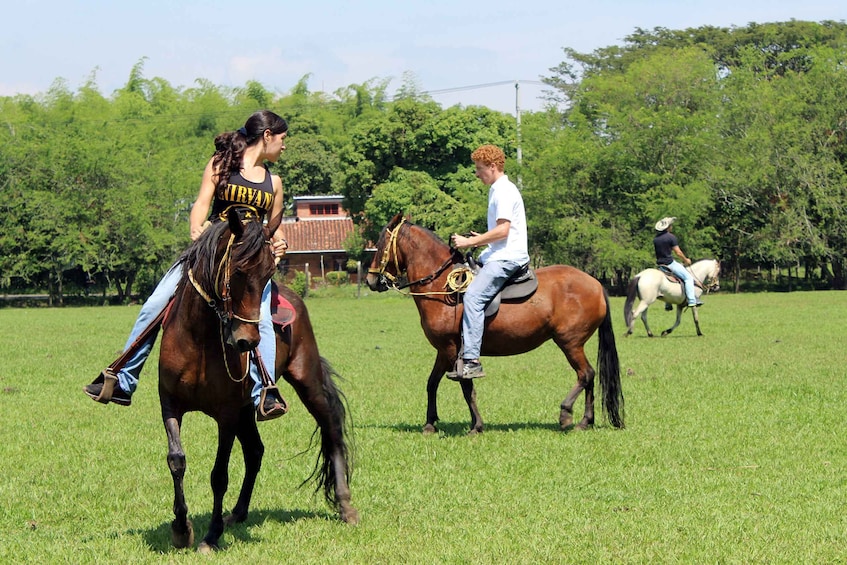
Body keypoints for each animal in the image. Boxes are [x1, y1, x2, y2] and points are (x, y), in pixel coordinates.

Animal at [159, 207, 358, 552]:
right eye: (237, 272)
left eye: (268, 274)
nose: (247, 341)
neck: (197, 340)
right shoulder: (170, 404)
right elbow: (177, 461)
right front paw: (182, 528)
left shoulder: (225, 414)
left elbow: (219, 475)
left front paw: (210, 536)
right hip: (246, 410)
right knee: (255, 451)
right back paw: (237, 513)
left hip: (306, 380)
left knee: (331, 427)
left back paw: (345, 506)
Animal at [364, 214, 624, 434]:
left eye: (381, 243)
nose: (370, 280)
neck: (441, 286)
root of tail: (596, 284)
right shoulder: (443, 350)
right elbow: (432, 383)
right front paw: (430, 424)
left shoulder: (454, 350)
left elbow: (467, 387)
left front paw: (476, 425)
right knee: (588, 376)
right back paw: (586, 421)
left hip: (570, 342)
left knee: (585, 374)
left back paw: (566, 413)